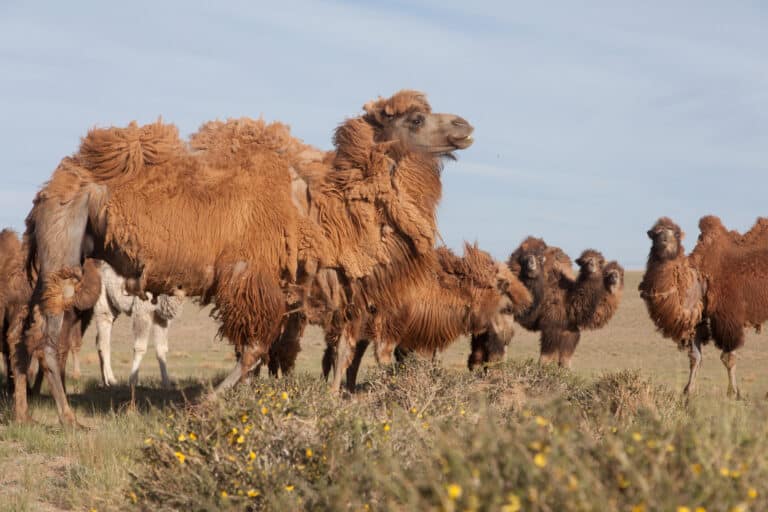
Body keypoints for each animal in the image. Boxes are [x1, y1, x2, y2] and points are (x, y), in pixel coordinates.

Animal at [23, 90, 474, 425]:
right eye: (415, 119)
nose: (465, 126)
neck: (319, 209)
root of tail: (52, 184)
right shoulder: (251, 276)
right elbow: (254, 350)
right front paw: (203, 405)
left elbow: (268, 353)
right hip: (63, 243)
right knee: (48, 335)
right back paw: (66, 416)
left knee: (36, 330)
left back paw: (26, 408)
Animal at [508, 237, 624, 368]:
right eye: (584, 261)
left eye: (599, 262)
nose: (614, 276)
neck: (569, 302)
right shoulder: (551, 326)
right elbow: (546, 357)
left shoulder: (570, 330)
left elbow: (565, 359)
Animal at [639, 216, 768, 398]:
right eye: (654, 233)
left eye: (676, 233)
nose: (664, 241)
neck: (700, 282)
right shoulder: (697, 319)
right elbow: (695, 357)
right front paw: (688, 391)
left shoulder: (729, 320)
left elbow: (728, 358)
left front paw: (734, 393)